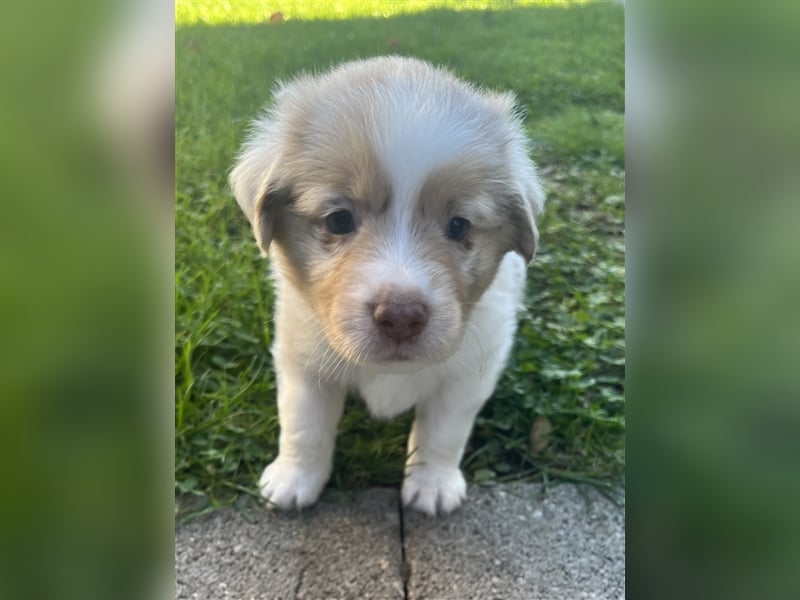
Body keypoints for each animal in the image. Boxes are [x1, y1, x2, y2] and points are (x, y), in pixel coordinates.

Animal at [231, 57, 544, 516]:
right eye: (339, 220)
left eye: (459, 226)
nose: (400, 317)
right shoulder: (303, 358)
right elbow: (304, 425)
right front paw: (294, 479)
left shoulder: (471, 369)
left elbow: (443, 431)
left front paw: (432, 484)